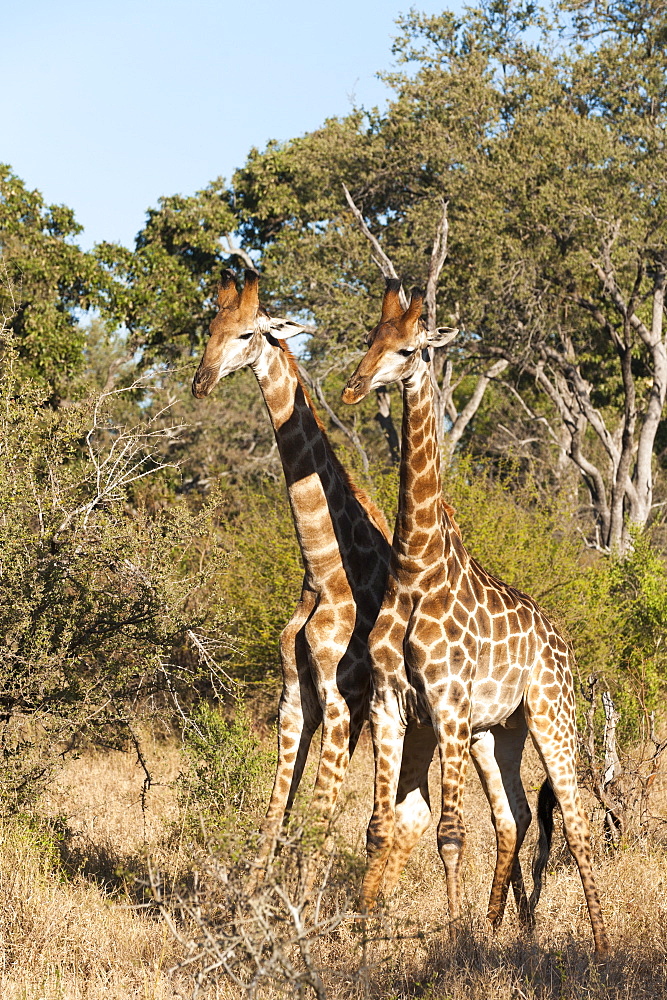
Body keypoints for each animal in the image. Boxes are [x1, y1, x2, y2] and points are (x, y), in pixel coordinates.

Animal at [344, 280, 612, 952]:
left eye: (407, 349)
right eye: (371, 338)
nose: (354, 388)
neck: (415, 568)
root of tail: (564, 642)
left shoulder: (447, 705)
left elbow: (448, 833)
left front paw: (454, 934)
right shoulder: (390, 704)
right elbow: (380, 827)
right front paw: (361, 937)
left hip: (552, 715)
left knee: (576, 823)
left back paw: (598, 942)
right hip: (500, 733)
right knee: (513, 816)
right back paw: (503, 928)